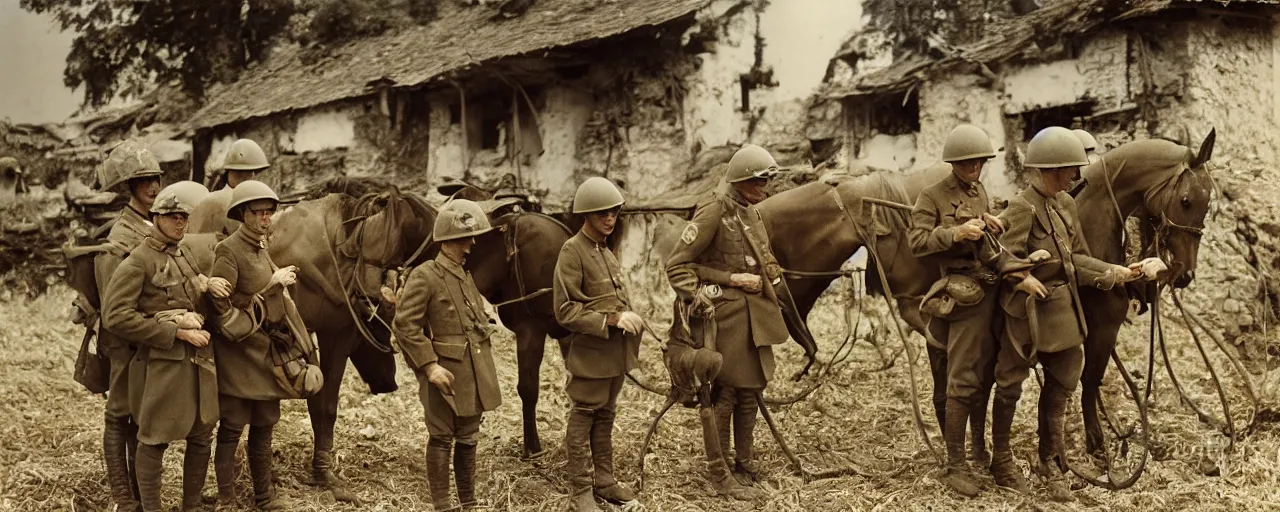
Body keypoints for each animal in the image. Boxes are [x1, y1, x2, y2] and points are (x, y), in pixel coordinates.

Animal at [1075, 131, 1213, 455]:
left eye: (1208, 205)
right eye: (1185, 201)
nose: (1185, 274)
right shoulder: (1102, 330)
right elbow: (1090, 380)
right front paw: (1096, 442)